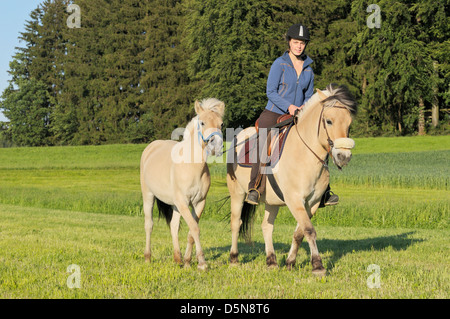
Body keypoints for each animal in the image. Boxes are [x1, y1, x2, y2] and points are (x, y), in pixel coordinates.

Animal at [140, 97, 224, 270]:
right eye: (202, 123)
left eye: (221, 124)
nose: (216, 146)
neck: (191, 166)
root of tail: (151, 147)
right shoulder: (184, 203)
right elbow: (195, 228)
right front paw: (202, 263)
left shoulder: (199, 203)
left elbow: (191, 232)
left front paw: (187, 261)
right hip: (149, 196)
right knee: (149, 225)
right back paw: (148, 258)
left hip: (175, 205)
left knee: (173, 226)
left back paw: (177, 258)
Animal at [227, 84, 356, 276]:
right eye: (329, 121)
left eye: (349, 123)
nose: (343, 156)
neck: (304, 154)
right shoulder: (295, 200)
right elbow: (309, 230)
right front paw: (318, 266)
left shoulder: (313, 203)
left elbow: (299, 233)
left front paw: (290, 262)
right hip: (237, 193)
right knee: (236, 223)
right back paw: (234, 259)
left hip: (271, 200)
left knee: (267, 226)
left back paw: (271, 261)